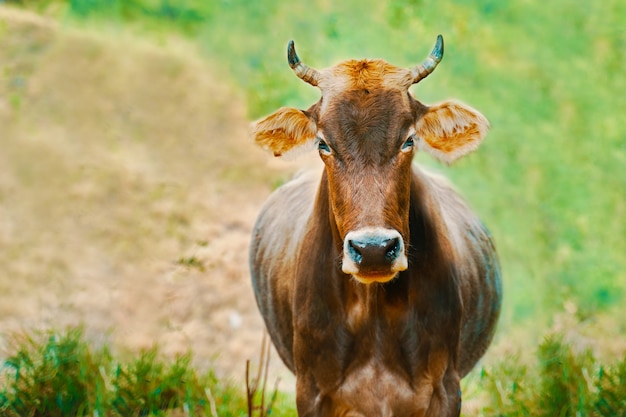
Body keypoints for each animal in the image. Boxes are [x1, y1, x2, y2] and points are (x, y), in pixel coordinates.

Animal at [247, 36, 498, 416]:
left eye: (409, 140)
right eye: (323, 144)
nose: (374, 250)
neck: (373, 309)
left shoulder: (445, 389)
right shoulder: (310, 391)